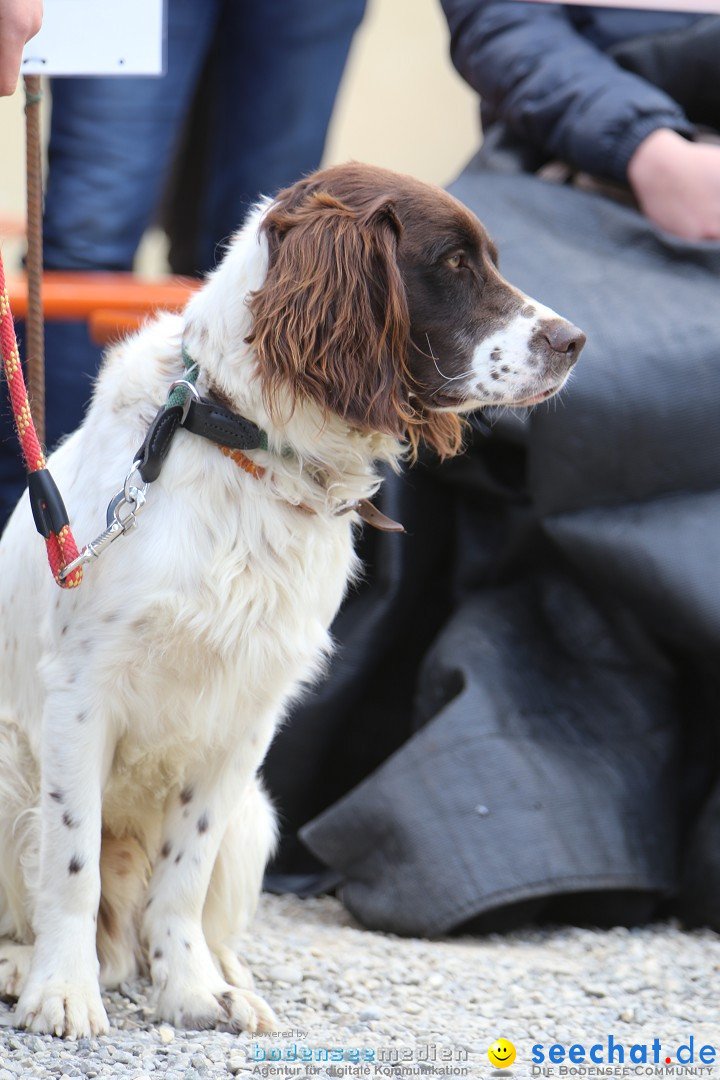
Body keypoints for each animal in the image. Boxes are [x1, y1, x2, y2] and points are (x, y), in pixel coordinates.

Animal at [0, 162, 582, 1036]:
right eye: (452, 263)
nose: (574, 341)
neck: (242, 447)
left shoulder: (245, 716)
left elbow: (184, 873)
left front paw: (192, 990)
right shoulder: (81, 691)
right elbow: (71, 862)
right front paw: (63, 990)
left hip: (257, 814)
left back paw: (225, 973)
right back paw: (21, 963)